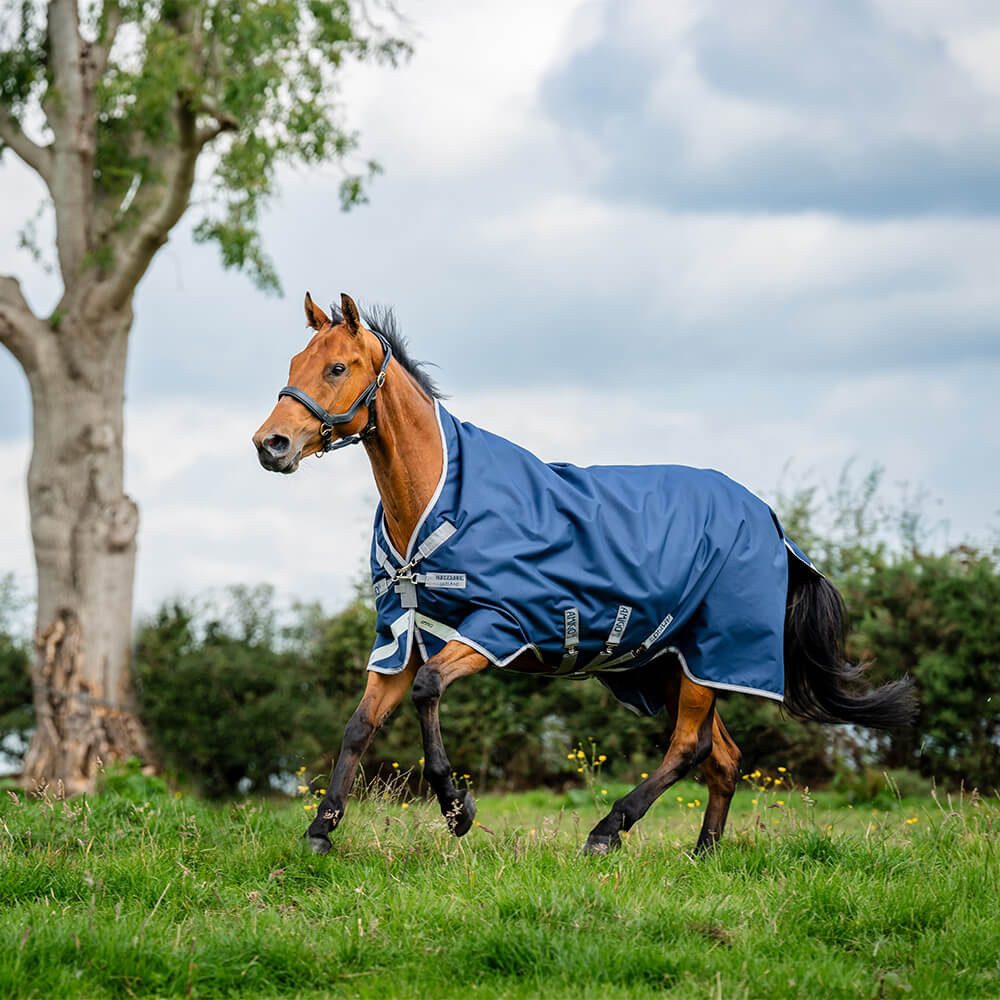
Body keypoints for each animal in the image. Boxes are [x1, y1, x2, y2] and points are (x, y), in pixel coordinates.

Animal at [252, 292, 917, 856]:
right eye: (296, 361)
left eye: (337, 368)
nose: (270, 444)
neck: (440, 499)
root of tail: (772, 524)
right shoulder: (401, 636)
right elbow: (359, 725)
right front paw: (320, 831)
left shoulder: (498, 626)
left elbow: (429, 690)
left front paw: (456, 806)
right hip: (668, 663)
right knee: (723, 758)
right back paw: (703, 853)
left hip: (708, 656)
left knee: (690, 746)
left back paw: (608, 829)